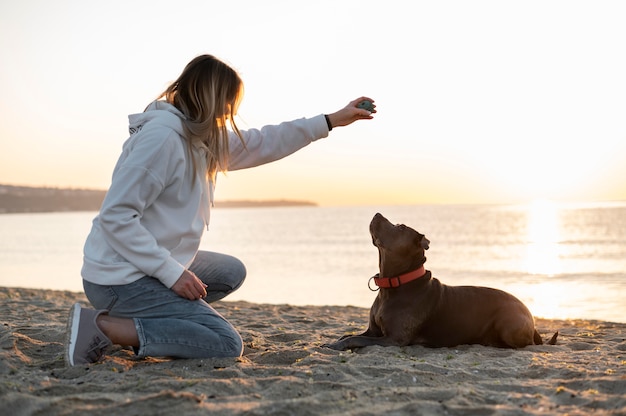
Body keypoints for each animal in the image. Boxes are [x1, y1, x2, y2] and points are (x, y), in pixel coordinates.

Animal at [326, 211, 556, 352]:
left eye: (401, 227)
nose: (377, 213)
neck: (394, 285)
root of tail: (531, 316)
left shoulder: (393, 339)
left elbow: (356, 338)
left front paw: (335, 346)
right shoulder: (373, 331)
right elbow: (348, 334)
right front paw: (335, 341)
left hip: (508, 322)